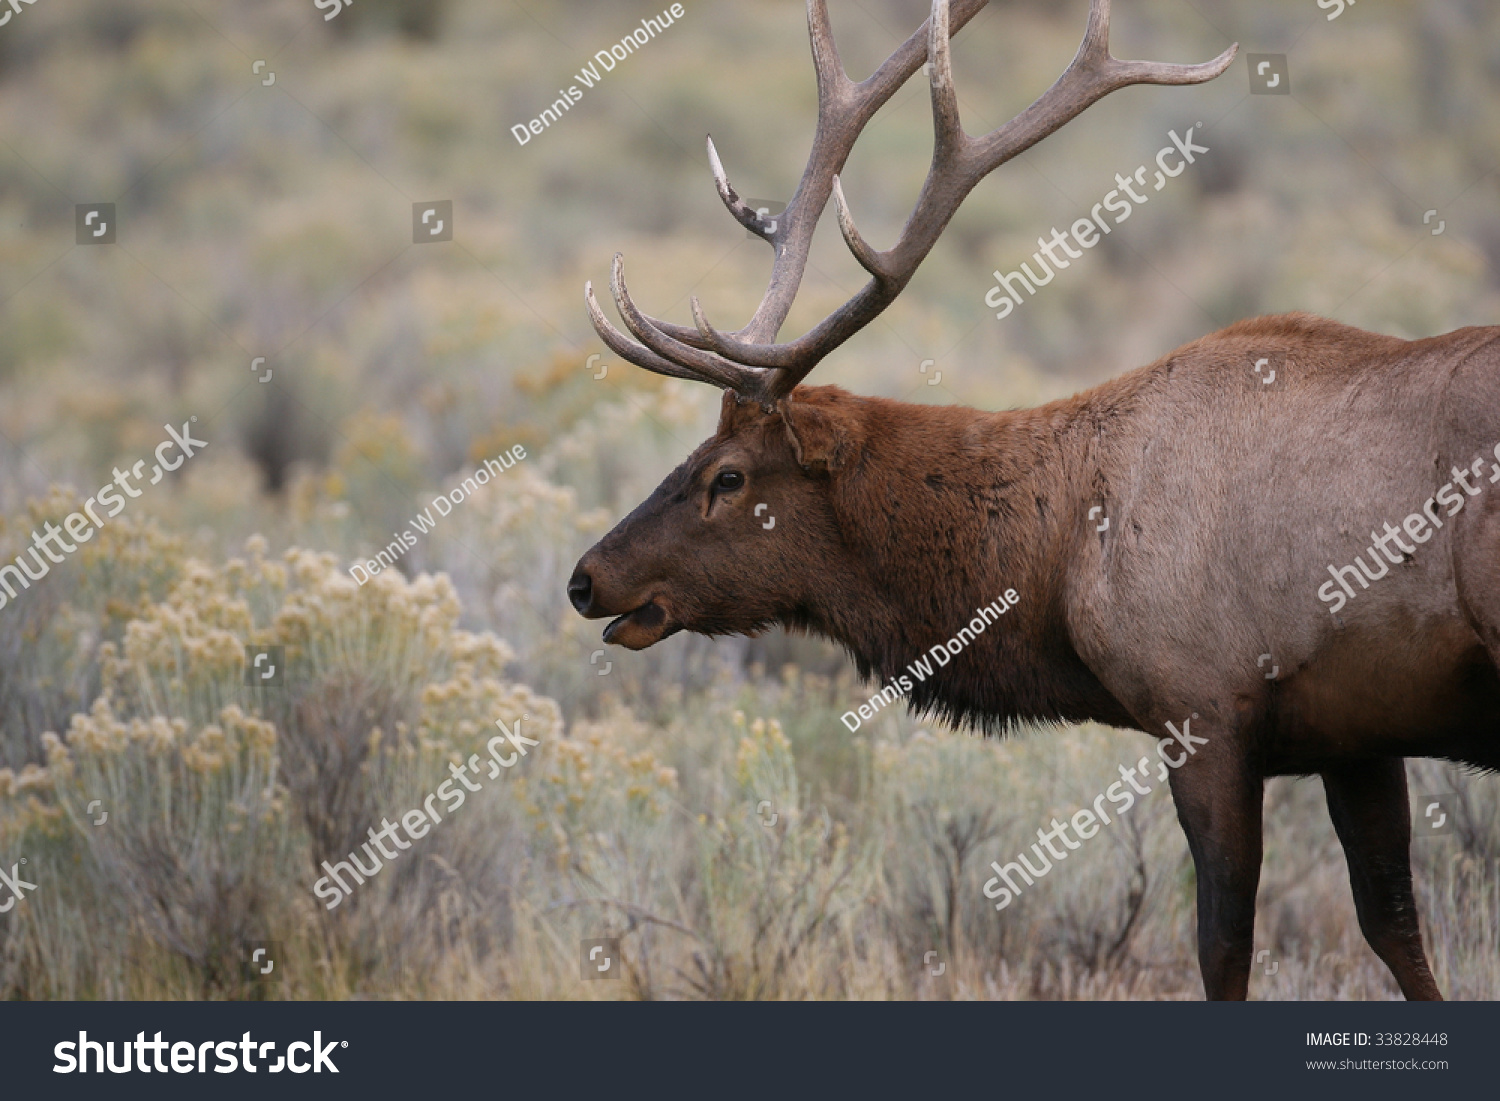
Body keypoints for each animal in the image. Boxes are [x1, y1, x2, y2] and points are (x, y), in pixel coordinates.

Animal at [564, 0, 1488, 1002]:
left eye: (727, 476)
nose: (585, 577)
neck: (1063, 570)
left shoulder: (1206, 709)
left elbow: (1223, 948)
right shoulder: (1359, 733)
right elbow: (1397, 930)